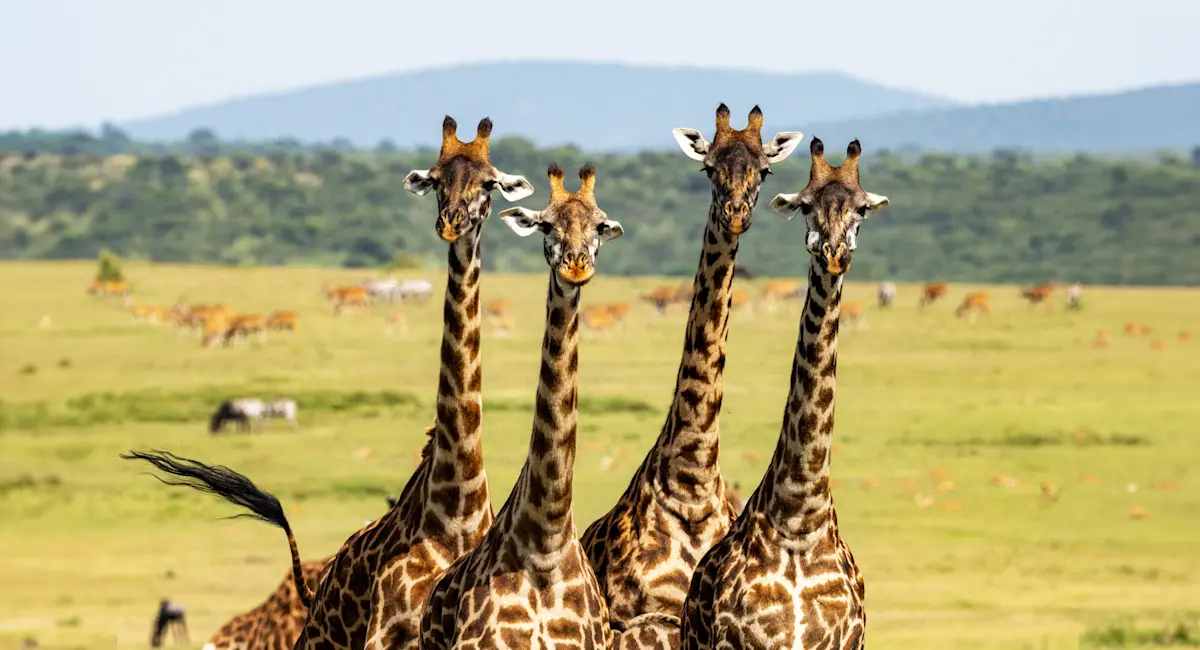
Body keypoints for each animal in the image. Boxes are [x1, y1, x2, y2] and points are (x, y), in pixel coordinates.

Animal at [124, 116, 534, 650]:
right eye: (435, 180)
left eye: (489, 183)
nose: (451, 222)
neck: (456, 510)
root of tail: (316, 588)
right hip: (321, 639)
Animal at [680, 137, 890, 650]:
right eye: (807, 206)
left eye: (860, 208)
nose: (833, 252)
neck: (799, 518)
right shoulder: (737, 640)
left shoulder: (847, 641)